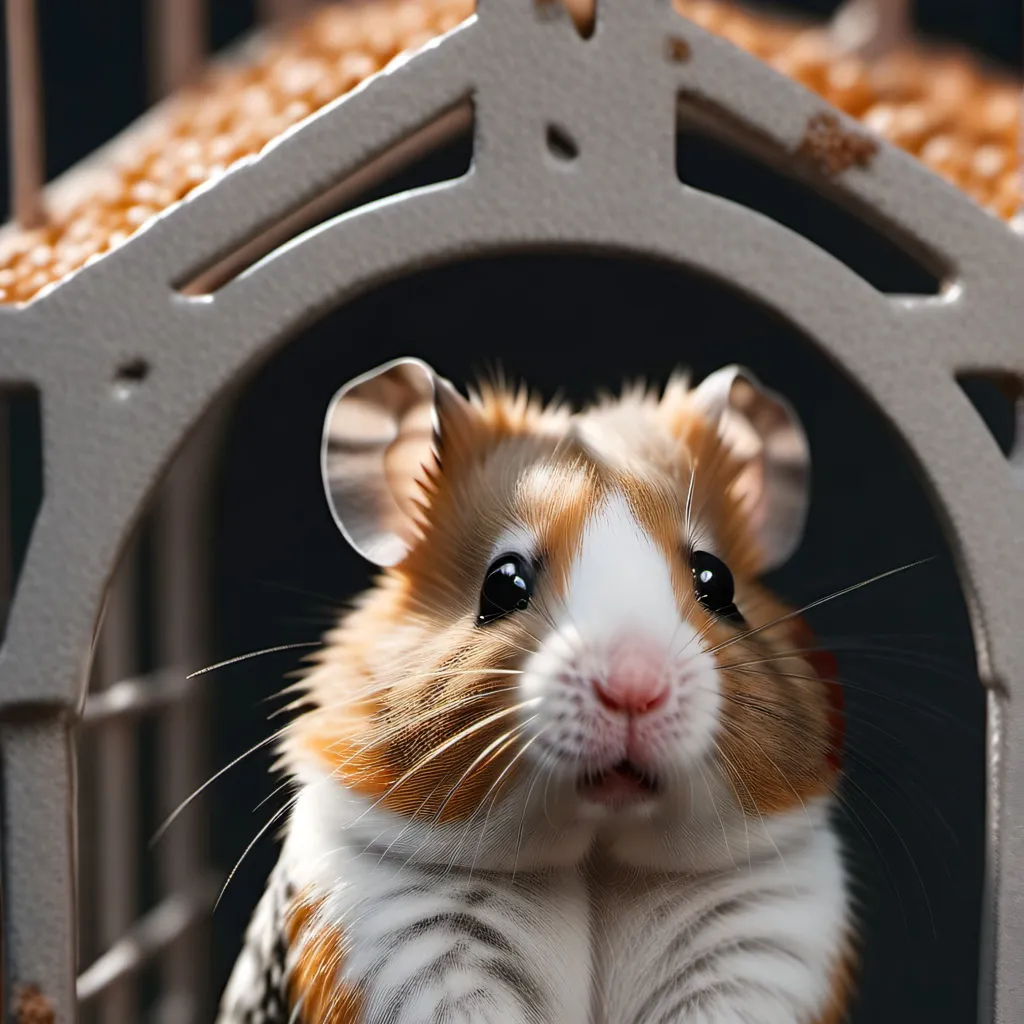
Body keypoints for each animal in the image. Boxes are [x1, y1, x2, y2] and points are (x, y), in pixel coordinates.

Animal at [216, 358, 852, 1024]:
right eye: (503, 583)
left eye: (717, 581)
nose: (633, 687)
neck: (596, 858)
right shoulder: (404, 949)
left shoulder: (760, 947)